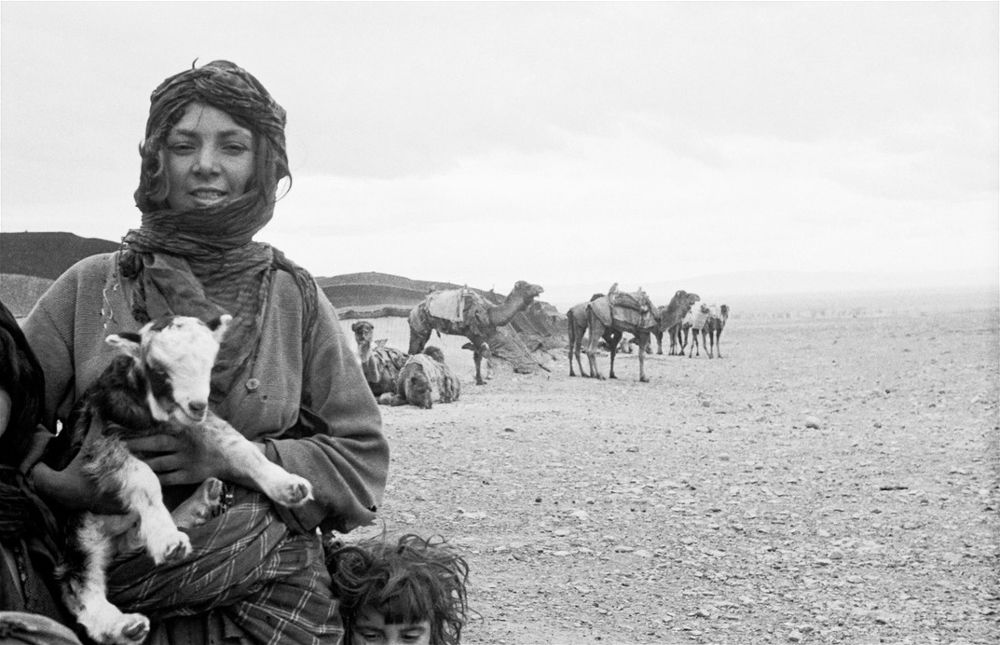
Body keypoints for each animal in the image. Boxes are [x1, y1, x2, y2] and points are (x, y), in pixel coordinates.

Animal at [44, 316, 312, 644]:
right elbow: (145, 479)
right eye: (158, 370)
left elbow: (240, 446)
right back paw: (124, 624)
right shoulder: (103, 441)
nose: (197, 405)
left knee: (133, 540)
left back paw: (200, 504)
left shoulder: (201, 424)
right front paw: (166, 539)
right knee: (78, 582)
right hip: (80, 529)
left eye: (210, 365)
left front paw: (287, 486)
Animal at [406, 280, 544, 384]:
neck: (490, 314)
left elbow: (478, 356)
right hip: (419, 327)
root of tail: (413, 309)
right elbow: (482, 354)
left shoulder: (482, 336)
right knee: (413, 350)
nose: (541, 288)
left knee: (417, 350)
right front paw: (486, 377)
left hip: (423, 330)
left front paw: (480, 381)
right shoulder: (473, 334)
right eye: (527, 285)